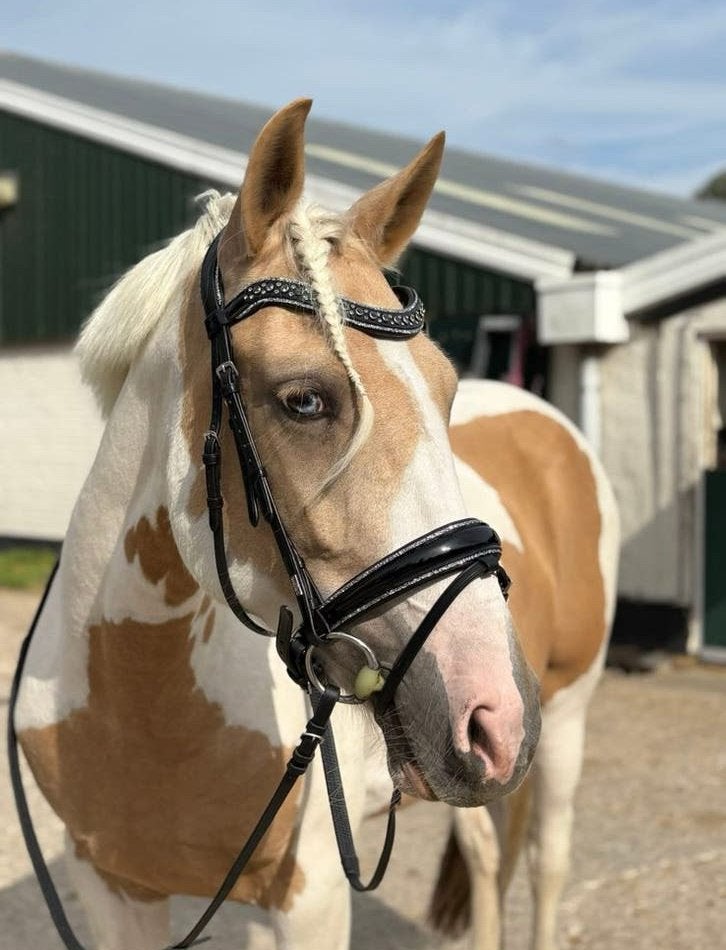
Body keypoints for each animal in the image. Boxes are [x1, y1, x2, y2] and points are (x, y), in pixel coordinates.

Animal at [13, 99, 541, 950]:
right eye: (303, 399)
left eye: (446, 387)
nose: (495, 713)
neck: (139, 707)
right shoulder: (111, 887)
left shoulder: (306, 897)